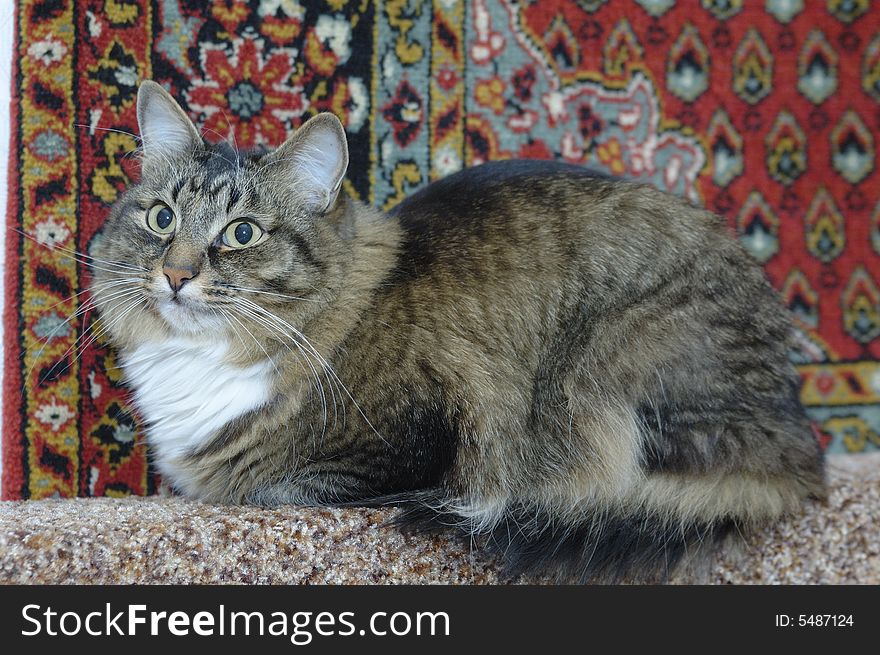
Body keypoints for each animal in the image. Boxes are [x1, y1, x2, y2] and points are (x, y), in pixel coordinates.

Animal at [89, 82, 824, 584]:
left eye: (241, 233)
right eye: (160, 218)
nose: (176, 274)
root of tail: (800, 443)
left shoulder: (411, 443)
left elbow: (269, 485)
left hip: (610, 364)